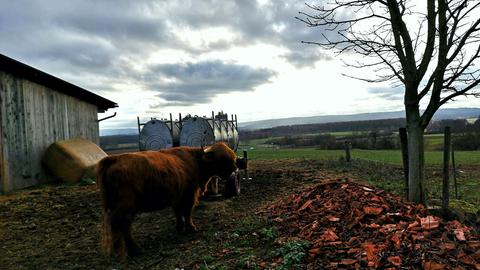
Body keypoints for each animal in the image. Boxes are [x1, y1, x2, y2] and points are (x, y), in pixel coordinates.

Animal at [97, 141, 238, 258]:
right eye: (223, 159)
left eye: (233, 157)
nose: (234, 169)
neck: (196, 161)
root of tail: (113, 159)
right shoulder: (189, 195)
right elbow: (187, 212)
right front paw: (191, 227)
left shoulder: (177, 197)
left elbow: (178, 212)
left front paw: (179, 227)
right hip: (126, 206)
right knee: (122, 225)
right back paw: (134, 250)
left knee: (117, 226)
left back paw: (118, 250)